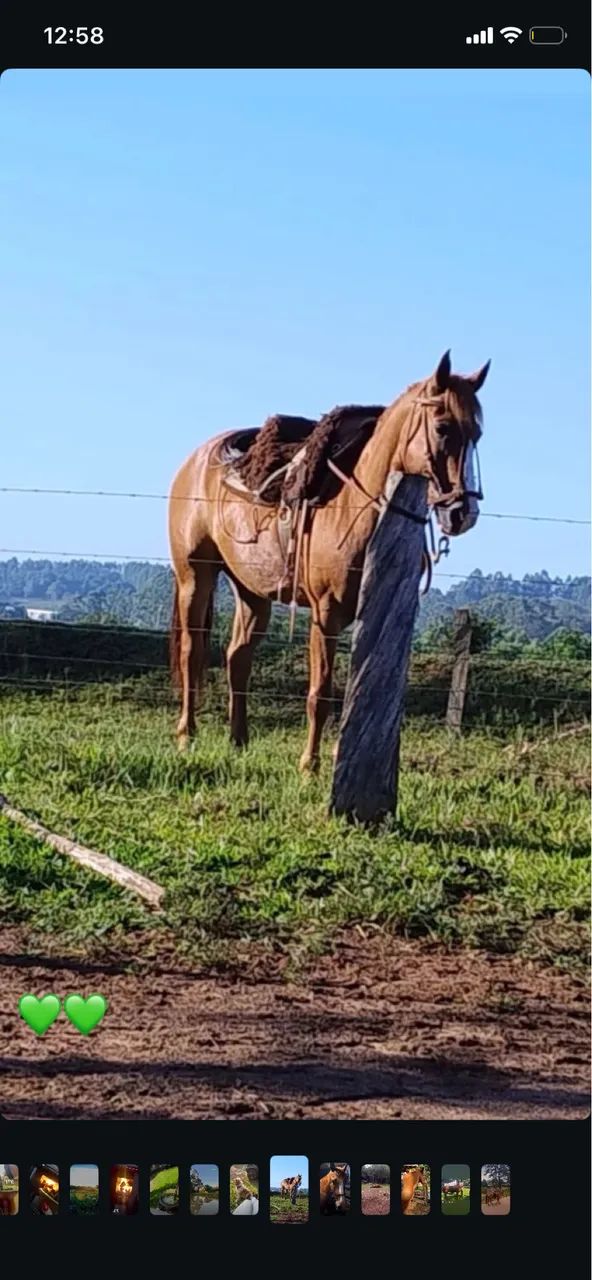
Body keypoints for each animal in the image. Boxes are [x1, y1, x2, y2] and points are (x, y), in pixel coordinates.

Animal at [169, 351, 489, 769]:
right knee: (192, 654)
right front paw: (310, 765)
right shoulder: (326, 613)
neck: (354, 509)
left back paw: (238, 741)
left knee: (237, 658)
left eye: (477, 433)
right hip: (195, 577)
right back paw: (186, 736)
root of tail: (195, 461)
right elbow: (320, 693)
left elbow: (361, 687)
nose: (462, 513)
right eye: (442, 427)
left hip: (251, 591)